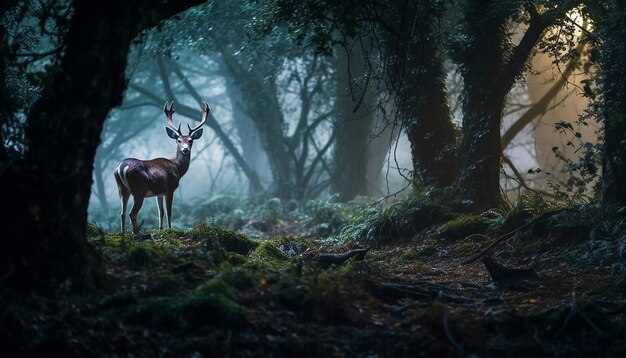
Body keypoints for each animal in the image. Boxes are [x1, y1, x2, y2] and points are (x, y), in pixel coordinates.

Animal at [112, 101, 210, 235]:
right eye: (178, 140)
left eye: (191, 140)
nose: (185, 149)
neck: (177, 167)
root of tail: (122, 167)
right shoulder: (170, 188)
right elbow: (169, 212)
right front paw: (170, 229)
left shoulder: (159, 193)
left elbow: (161, 212)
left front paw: (161, 229)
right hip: (139, 189)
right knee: (131, 213)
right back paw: (136, 232)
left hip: (121, 188)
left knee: (122, 213)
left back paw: (123, 234)